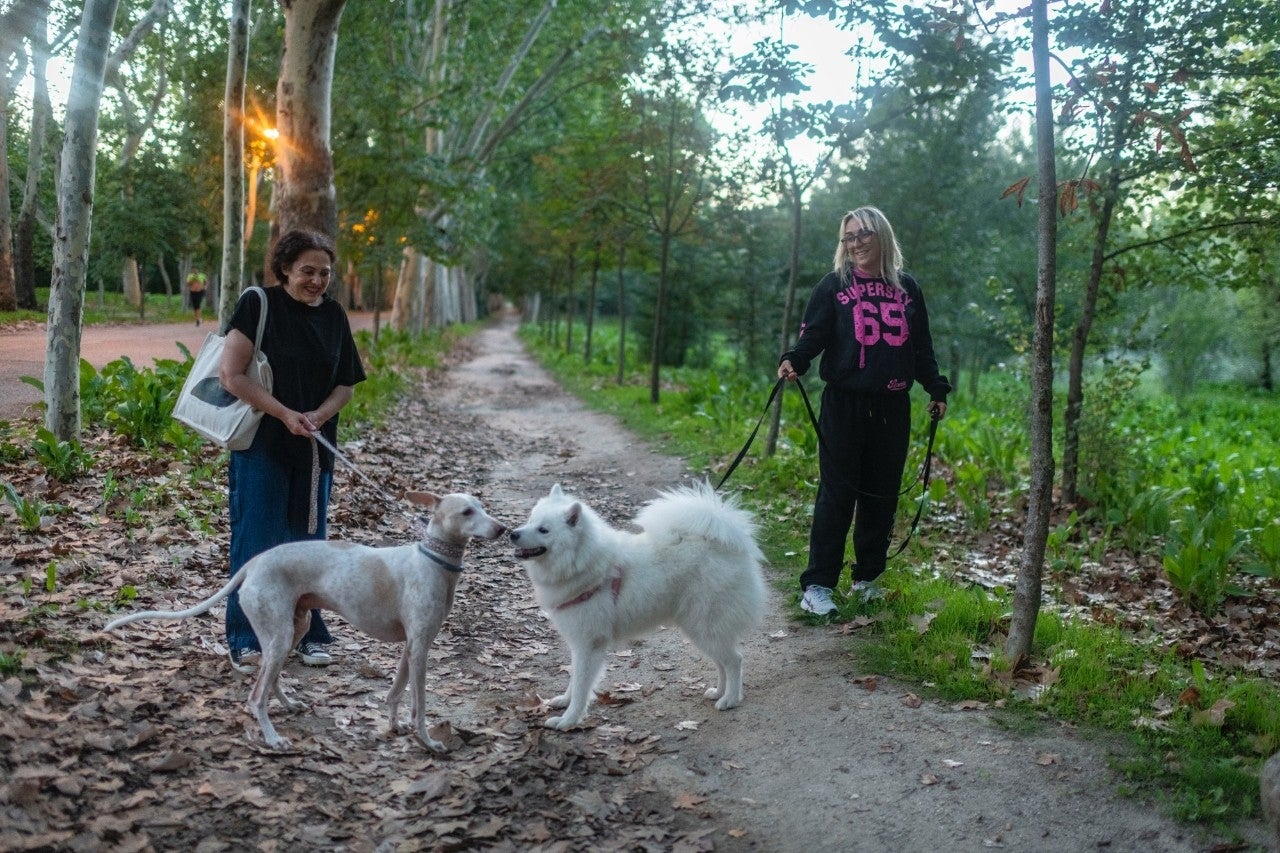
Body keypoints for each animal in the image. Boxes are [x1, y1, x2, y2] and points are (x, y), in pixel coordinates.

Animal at [512, 481, 768, 727]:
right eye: (530, 520)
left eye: (543, 529)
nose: (512, 534)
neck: (583, 562)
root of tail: (725, 544)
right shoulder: (579, 643)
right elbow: (574, 679)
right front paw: (565, 702)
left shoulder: (589, 643)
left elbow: (582, 685)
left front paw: (568, 720)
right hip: (700, 629)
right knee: (721, 662)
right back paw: (719, 692)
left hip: (706, 625)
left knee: (734, 660)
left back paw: (730, 699)